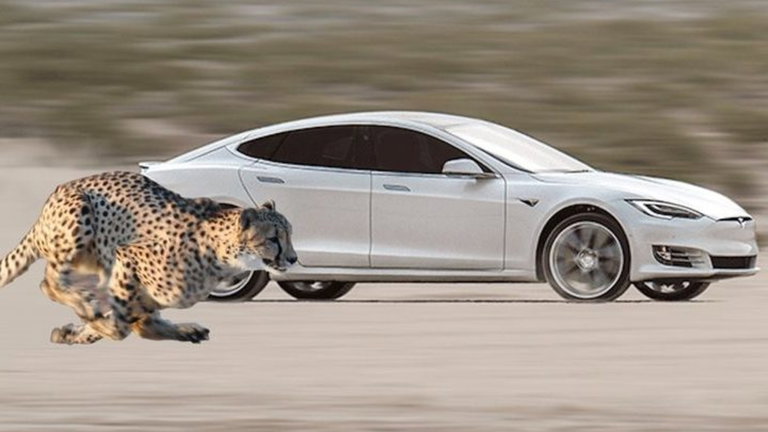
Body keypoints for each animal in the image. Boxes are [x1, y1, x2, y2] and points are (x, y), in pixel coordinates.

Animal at [0, 171, 297, 344]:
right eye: (273, 239)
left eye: (290, 234)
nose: (293, 258)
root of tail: (57, 192)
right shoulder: (126, 257)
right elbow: (119, 327)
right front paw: (89, 322)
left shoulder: (145, 294)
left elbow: (134, 323)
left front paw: (71, 332)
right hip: (79, 215)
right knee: (48, 282)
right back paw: (84, 305)